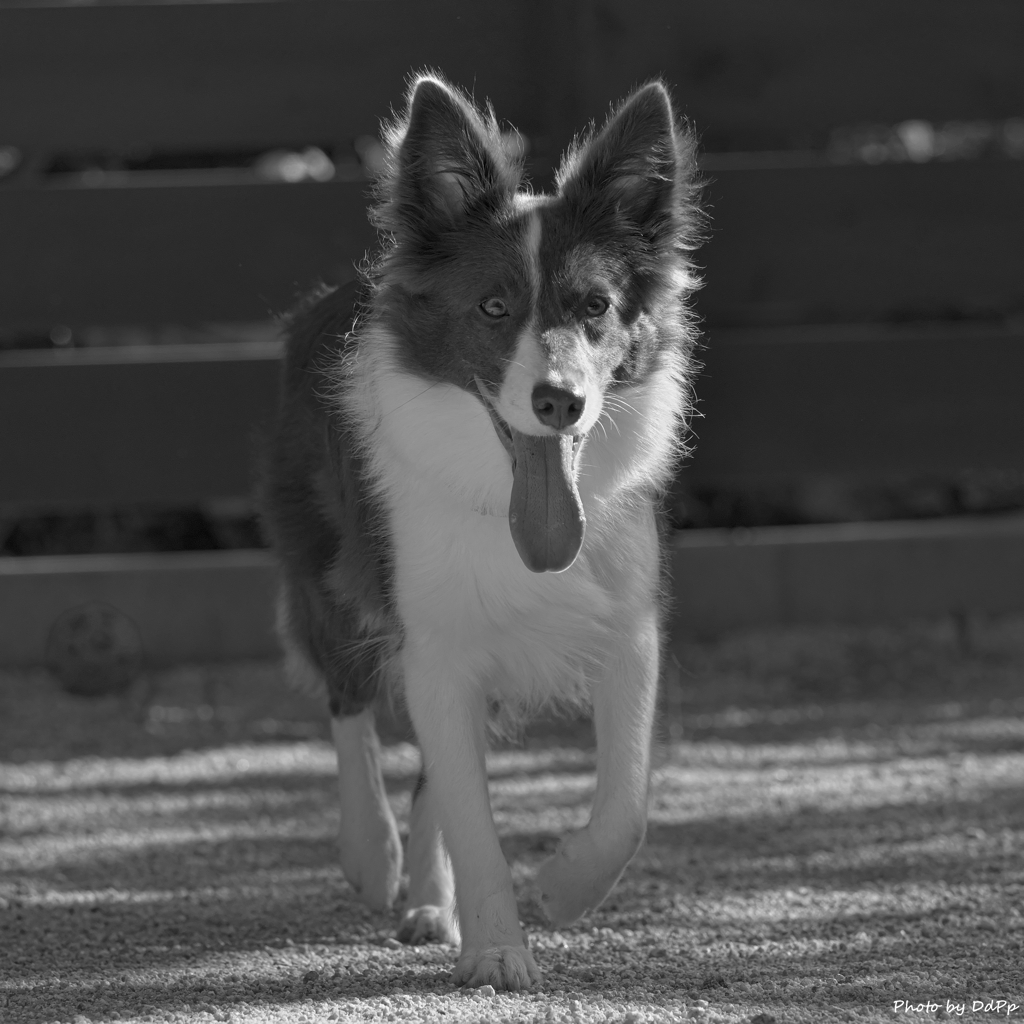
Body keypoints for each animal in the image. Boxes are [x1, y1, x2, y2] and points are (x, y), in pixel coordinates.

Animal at [260, 74, 700, 991]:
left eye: (596, 307)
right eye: (494, 308)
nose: (560, 401)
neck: (506, 501)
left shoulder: (627, 629)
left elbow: (626, 805)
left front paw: (562, 890)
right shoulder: (433, 642)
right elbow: (469, 814)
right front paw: (498, 946)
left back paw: (430, 902)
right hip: (327, 572)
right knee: (347, 702)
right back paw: (375, 857)